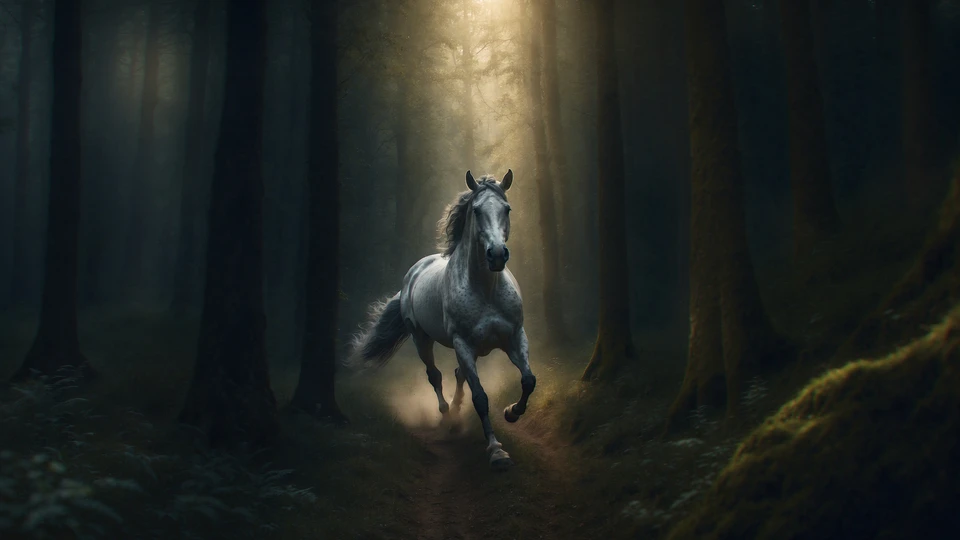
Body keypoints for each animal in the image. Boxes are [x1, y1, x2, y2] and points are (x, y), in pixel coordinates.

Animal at [348, 169, 535, 470]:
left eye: (506, 209)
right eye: (476, 210)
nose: (496, 255)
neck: (486, 289)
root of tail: (412, 274)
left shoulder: (515, 336)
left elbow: (528, 380)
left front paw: (511, 412)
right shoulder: (462, 343)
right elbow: (480, 398)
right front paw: (496, 451)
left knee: (459, 374)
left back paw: (456, 411)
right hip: (422, 339)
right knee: (435, 376)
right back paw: (448, 417)